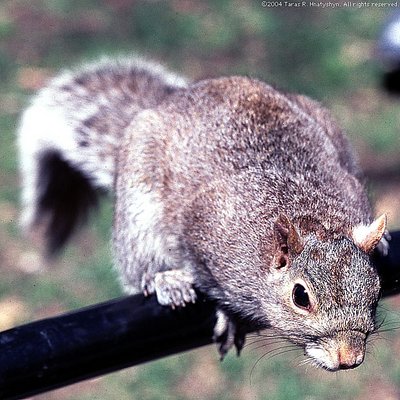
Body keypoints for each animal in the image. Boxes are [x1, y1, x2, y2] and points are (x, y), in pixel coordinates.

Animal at [18, 57, 388, 372]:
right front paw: (229, 314)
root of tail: (173, 100)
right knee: (137, 269)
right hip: (138, 211)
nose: (348, 357)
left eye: (375, 290)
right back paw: (164, 279)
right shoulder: (205, 232)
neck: (312, 217)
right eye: (300, 297)